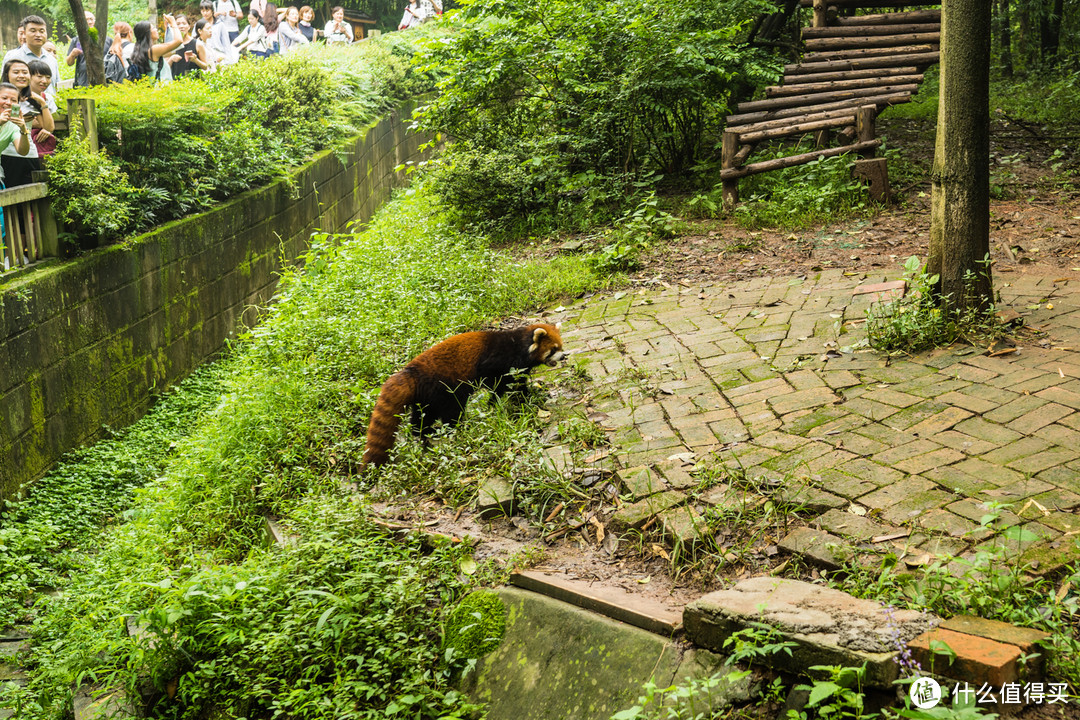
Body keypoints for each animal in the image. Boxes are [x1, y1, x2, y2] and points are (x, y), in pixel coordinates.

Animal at [362, 325, 565, 468]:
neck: (518, 344)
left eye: (561, 346)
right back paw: (453, 430)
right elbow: (496, 383)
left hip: (426, 399)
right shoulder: (497, 361)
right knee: (451, 413)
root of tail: (410, 373)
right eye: (553, 349)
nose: (564, 356)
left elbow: (519, 384)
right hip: (443, 390)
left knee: (421, 419)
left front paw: (529, 396)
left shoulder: (519, 368)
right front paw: (495, 402)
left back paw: (425, 436)